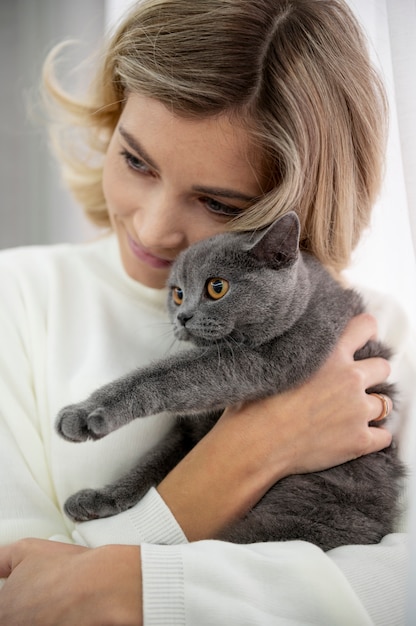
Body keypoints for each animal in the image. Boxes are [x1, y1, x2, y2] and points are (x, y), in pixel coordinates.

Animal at [57, 212, 404, 548]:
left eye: (217, 287)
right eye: (178, 293)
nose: (182, 316)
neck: (307, 297)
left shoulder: (267, 358)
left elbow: (167, 374)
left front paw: (86, 413)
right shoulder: (189, 429)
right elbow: (152, 461)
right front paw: (100, 498)